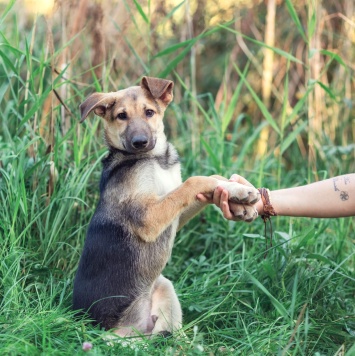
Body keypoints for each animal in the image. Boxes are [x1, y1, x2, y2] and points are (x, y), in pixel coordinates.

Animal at [73, 76, 262, 338]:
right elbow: (195, 181)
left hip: (164, 287)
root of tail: (137, 330)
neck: (155, 159)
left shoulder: (173, 213)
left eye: (149, 112)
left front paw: (237, 198)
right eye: (121, 116)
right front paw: (238, 192)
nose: (140, 143)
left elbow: (205, 182)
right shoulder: (148, 218)